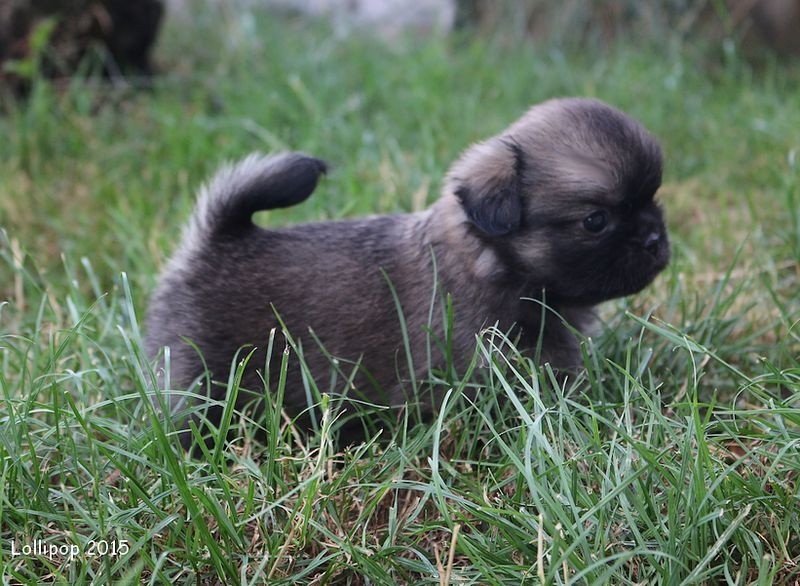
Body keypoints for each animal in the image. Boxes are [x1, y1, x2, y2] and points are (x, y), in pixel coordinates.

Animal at [145, 97, 668, 442]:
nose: (655, 238)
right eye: (596, 221)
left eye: (654, 199)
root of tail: (213, 242)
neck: (494, 264)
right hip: (204, 378)